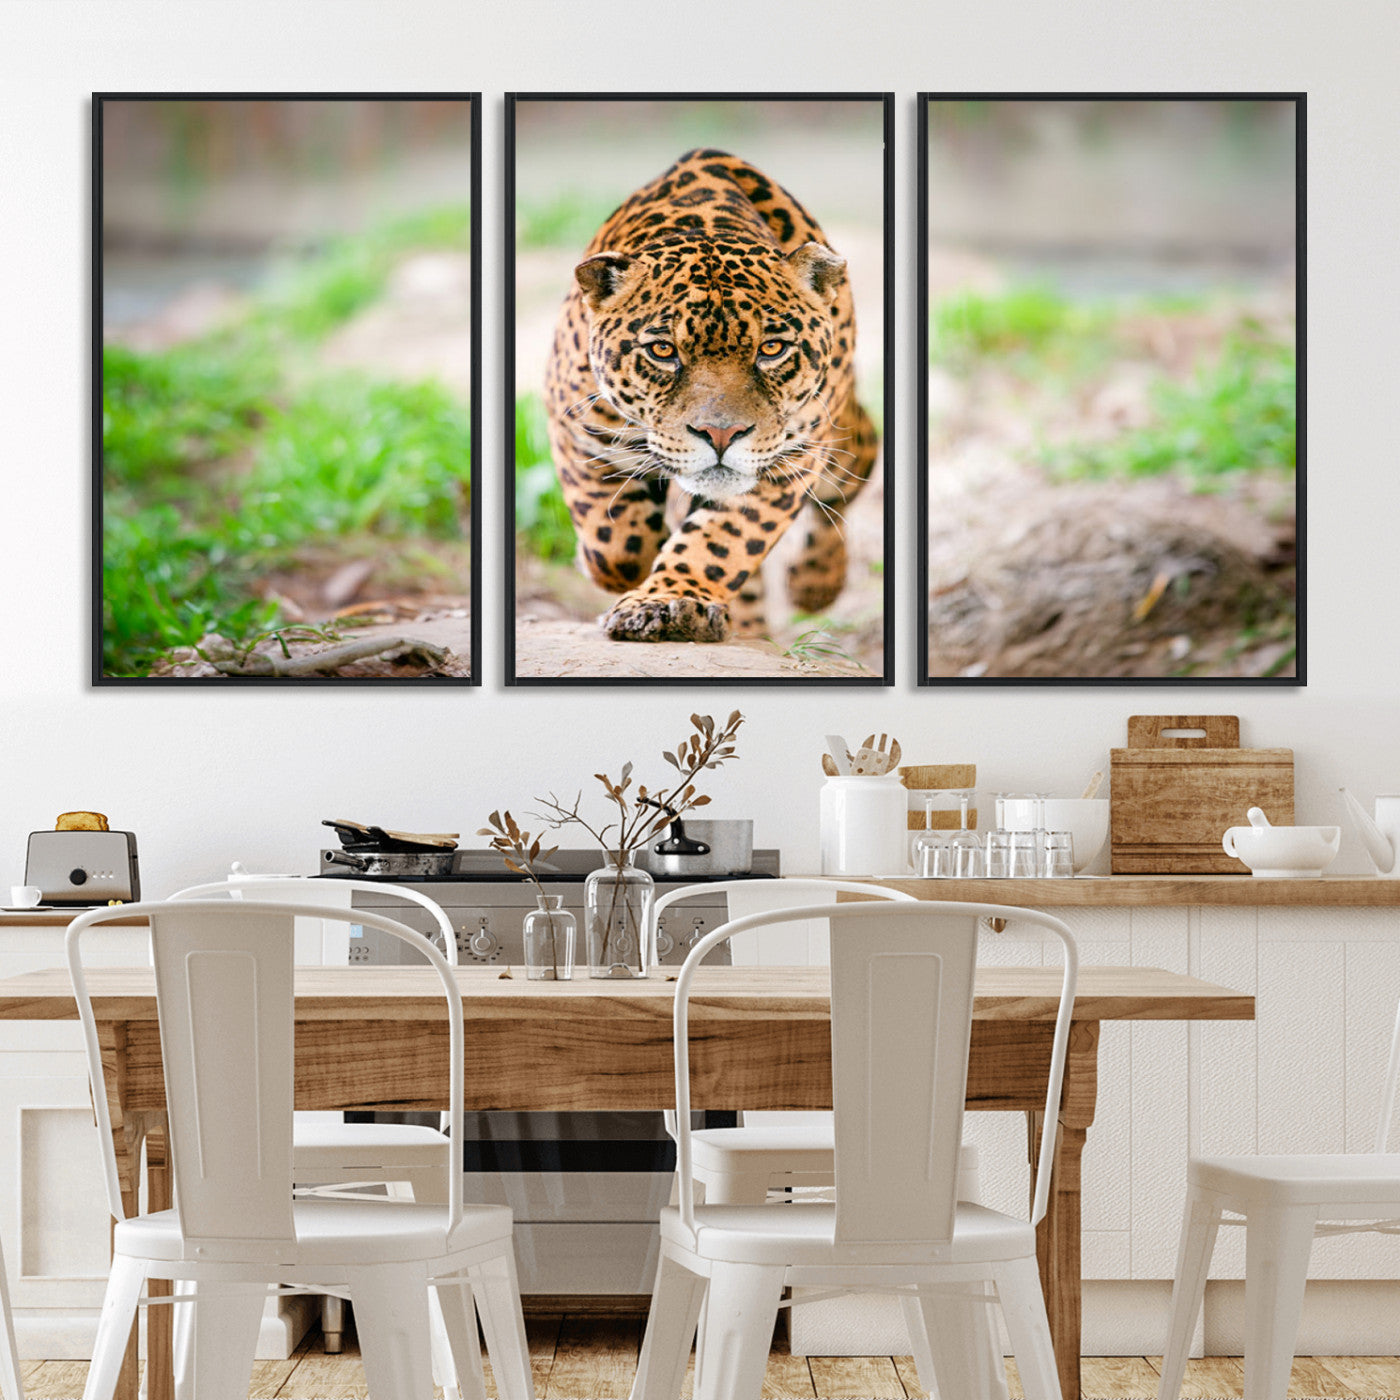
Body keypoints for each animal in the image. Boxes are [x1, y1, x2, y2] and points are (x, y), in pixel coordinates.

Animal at [542, 147, 879, 643]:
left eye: (771, 349)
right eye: (663, 350)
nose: (721, 435)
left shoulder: (788, 461)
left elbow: (722, 541)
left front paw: (669, 601)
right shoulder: (578, 429)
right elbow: (615, 542)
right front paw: (624, 568)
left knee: (851, 470)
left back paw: (814, 583)